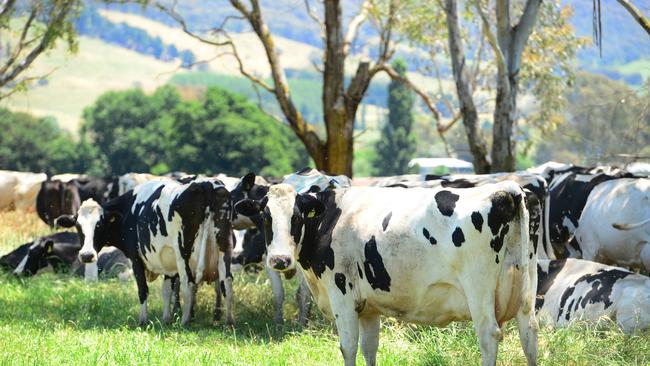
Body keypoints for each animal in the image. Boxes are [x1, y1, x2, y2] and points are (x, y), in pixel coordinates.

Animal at [55, 179, 233, 324]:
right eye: (78, 227)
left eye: (99, 225)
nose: (86, 255)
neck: (129, 211)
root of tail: (206, 184)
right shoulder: (167, 259)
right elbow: (166, 290)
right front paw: (166, 319)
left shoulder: (136, 259)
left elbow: (143, 290)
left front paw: (143, 321)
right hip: (224, 248)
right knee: (227, 281)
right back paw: (228, 322)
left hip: (183, 253)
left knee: (188, 283)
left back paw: (185, 321)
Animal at [233, 183, 536, 366]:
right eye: (266, 217)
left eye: (296, 217)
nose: (280, 260)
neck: (329, 219)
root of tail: (504, 189)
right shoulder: (368, 308)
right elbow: (369, 348)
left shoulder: (342, 296)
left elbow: (348, 347)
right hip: (526, 292)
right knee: (529, 334)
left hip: (478, 291)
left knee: (489, 336)